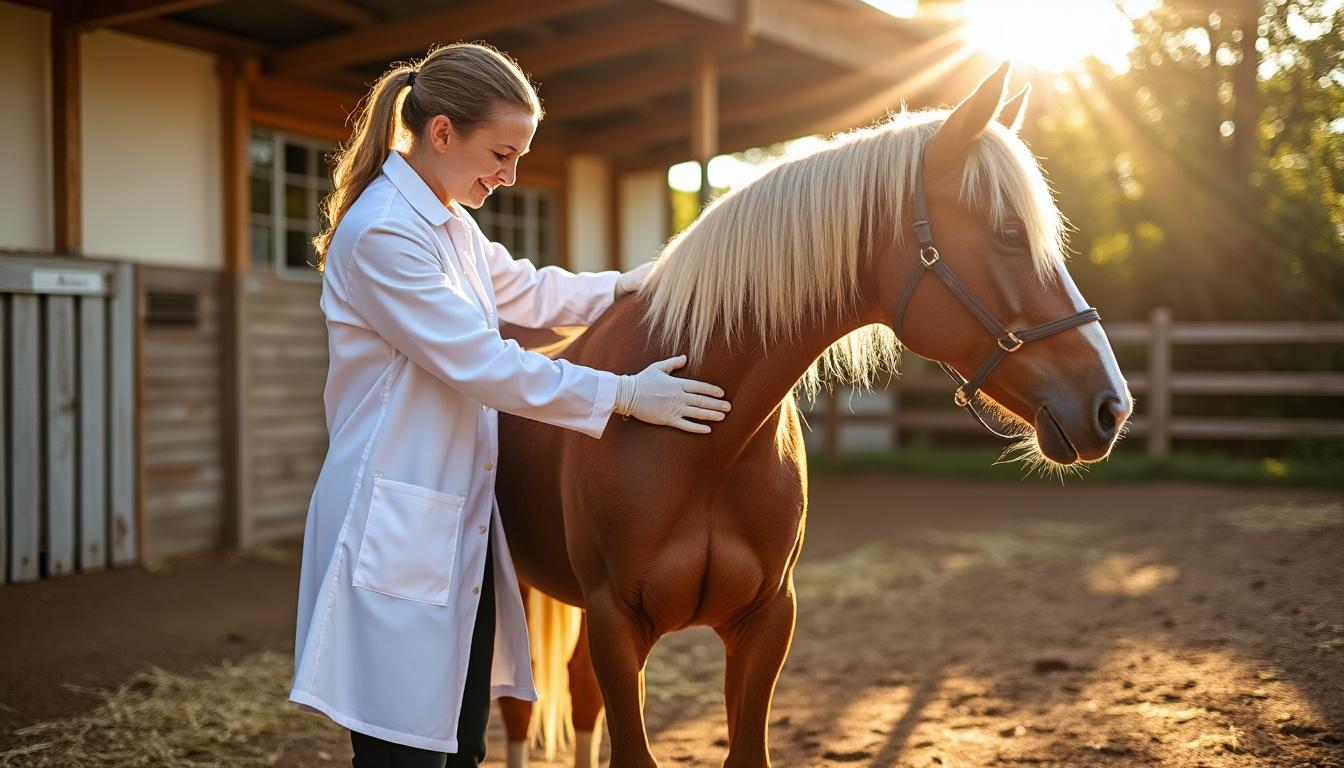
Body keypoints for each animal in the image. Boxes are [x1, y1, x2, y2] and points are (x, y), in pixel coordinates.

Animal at [493, 63, 1132, 768]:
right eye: (1010, 234)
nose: (1111, 406)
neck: (702, 446)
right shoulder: (616, 623)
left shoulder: (767, 621)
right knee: (519, 710)